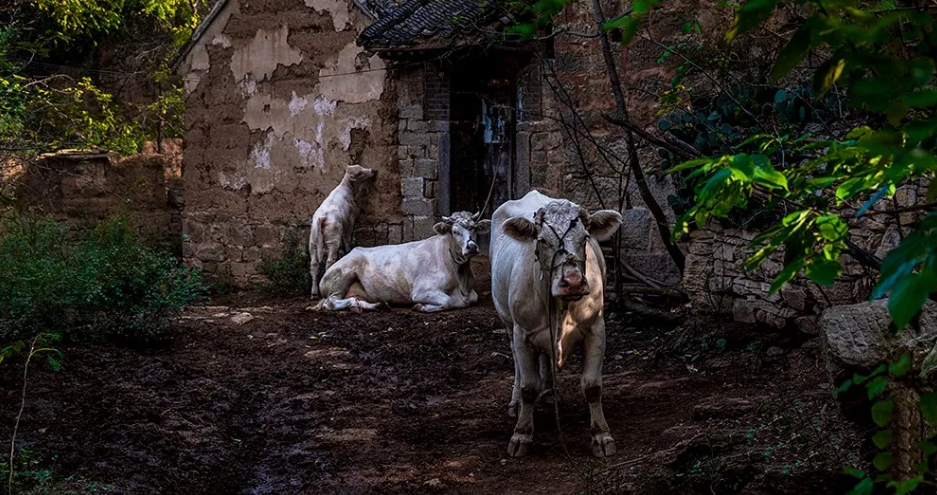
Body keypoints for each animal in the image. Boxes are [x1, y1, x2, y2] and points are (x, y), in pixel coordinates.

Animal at [310, 166, 376, 298]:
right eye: (359, 173)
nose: (372, 170)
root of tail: (322, 217)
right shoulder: (350, 221)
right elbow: (347, 238)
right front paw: (348, 250)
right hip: (333, 241)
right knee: (329, 261)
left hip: (313, 243)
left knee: (314, 264)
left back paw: (314, 292)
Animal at [314, 211, 490, 312]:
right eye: (454, 231)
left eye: (474, 228)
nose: (472, 247)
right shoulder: (421, 291)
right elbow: (447, 301)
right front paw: (420, 307)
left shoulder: (471, 294)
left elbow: (473, 298)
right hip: (343, 275)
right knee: (330, 303)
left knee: (355, 300)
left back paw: (376, 305)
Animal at [490, 189, 620, 458]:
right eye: (542, 241)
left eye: (585, 237)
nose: (573, 282)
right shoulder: (522, 333)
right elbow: (529, 387)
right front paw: (522, 434)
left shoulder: (597, 329)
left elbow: (592, 386)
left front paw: (601, 435)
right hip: (508, 322)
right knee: (517, 363)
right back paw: (516, 402)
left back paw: (549, 391)